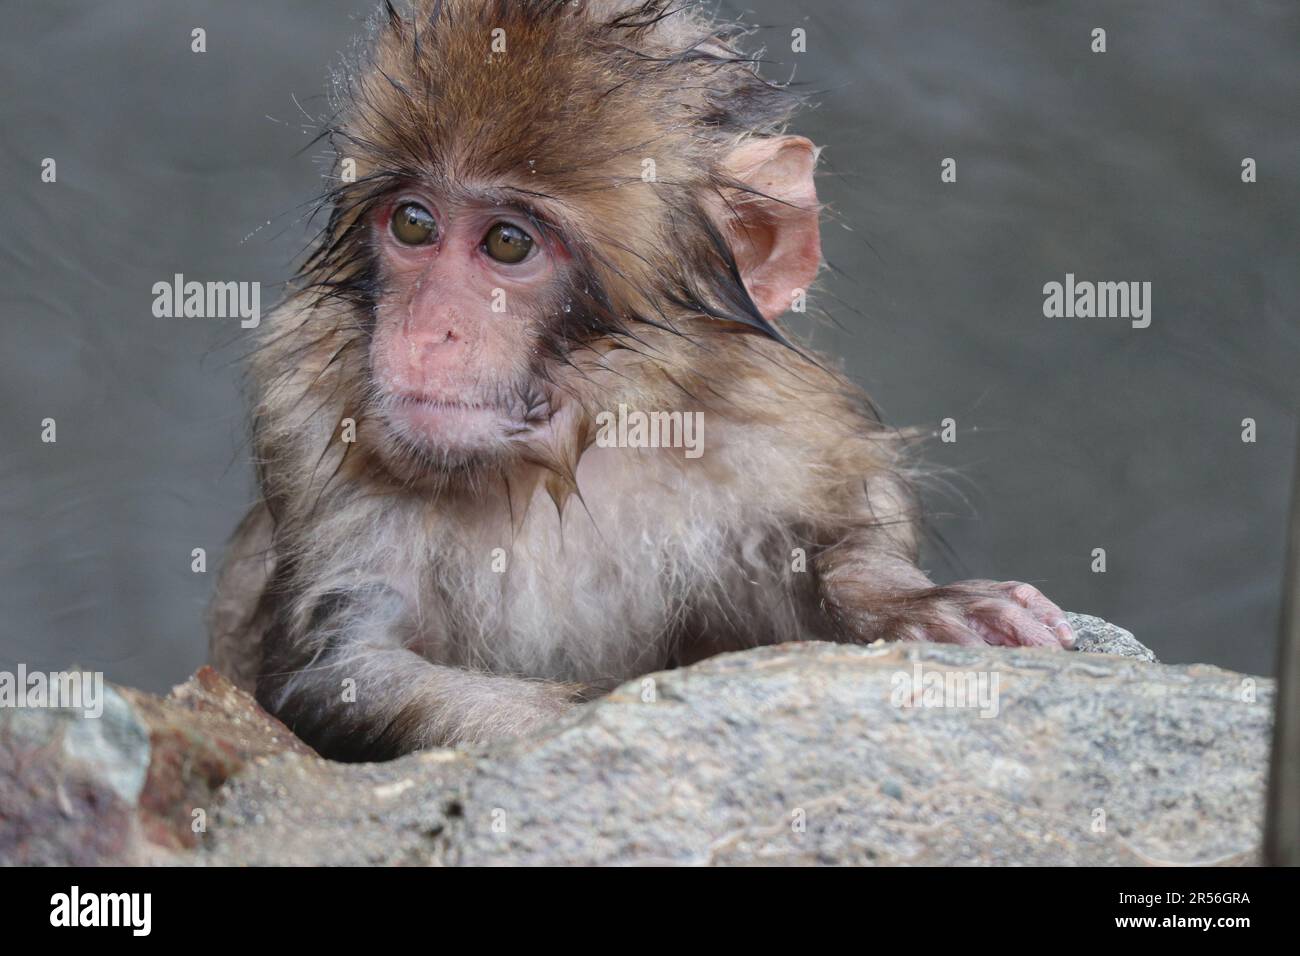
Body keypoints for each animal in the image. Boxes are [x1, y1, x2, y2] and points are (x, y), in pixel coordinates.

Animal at [208, 0, 1071, 764]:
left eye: (508, 243)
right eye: (415, 224)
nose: (426, 331)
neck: (563, 456)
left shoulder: (770, 422)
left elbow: (832, 542)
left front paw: (908, 601)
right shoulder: (306, 413)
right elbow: (347, 671)